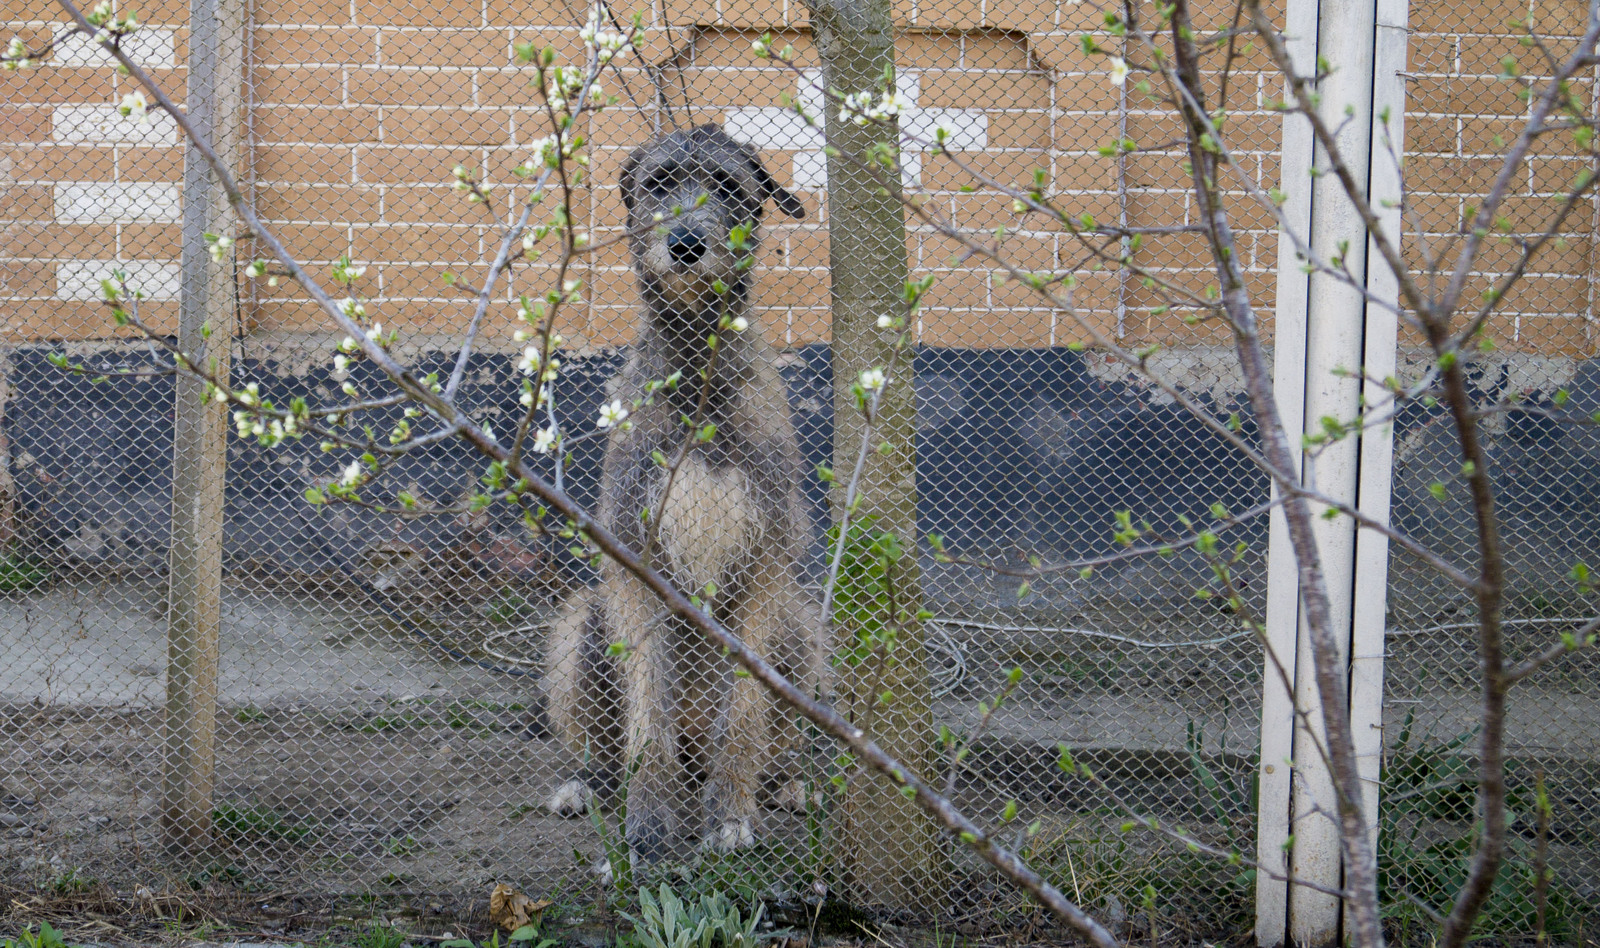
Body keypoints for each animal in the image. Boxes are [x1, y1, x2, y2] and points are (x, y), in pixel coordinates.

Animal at [547, 124, 825, 858]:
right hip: (583, 622)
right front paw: (648, 819)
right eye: (659, 183)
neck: (698, 363)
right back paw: (589, 783)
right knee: (605, 731)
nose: (687, 244)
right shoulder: (634, 559)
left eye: (728, 187)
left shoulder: (764, 559)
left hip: (800, 627)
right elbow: (648, 707)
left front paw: (728, 813)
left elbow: (747, 711)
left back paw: (784, 782)